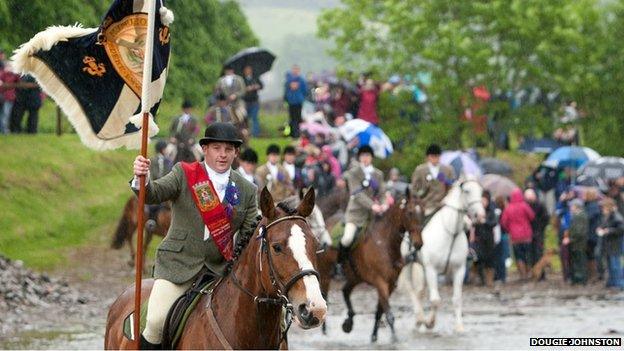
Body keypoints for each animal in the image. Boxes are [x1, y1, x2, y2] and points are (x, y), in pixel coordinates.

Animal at [316, 194, 424, 342]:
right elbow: (389, 313)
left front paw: (374, 337)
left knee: (345, 291)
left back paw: (348, 323)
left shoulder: (391, 284)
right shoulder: (380, 282)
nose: (419, 244)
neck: (385, 243)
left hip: (355, 276)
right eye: (410, 213)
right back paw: (325, 333)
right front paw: (394, 339)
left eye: (423, 212)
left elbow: (379, 311)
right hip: (326, 275)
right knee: (325, 298)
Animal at [402, 177, 486, 334]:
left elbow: (457, 299)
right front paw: (429, 323)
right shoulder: (431, 270)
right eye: (467, 191)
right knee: (410, 289)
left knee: (419, 292)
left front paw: (459, 327)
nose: (480, 216)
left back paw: (419, 320)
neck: (450, 232)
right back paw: (420, 319)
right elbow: (435, 300)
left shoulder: (459, 269)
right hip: (407, 265)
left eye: (481, 191)